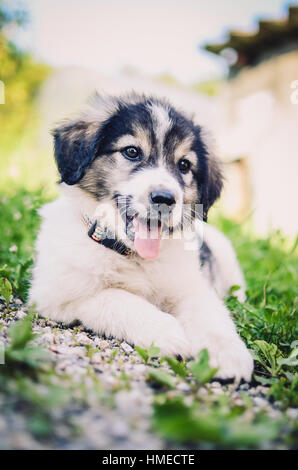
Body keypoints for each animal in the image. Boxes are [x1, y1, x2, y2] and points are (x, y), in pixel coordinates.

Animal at [29, 92, 254, 382]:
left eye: (184, 165)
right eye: (132, 152)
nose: (165, 199)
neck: (132, 255)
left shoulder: (191, 286)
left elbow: (210, 314)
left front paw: (228, 353)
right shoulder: (55, 293)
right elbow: (115, 298)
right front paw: (170, 333)